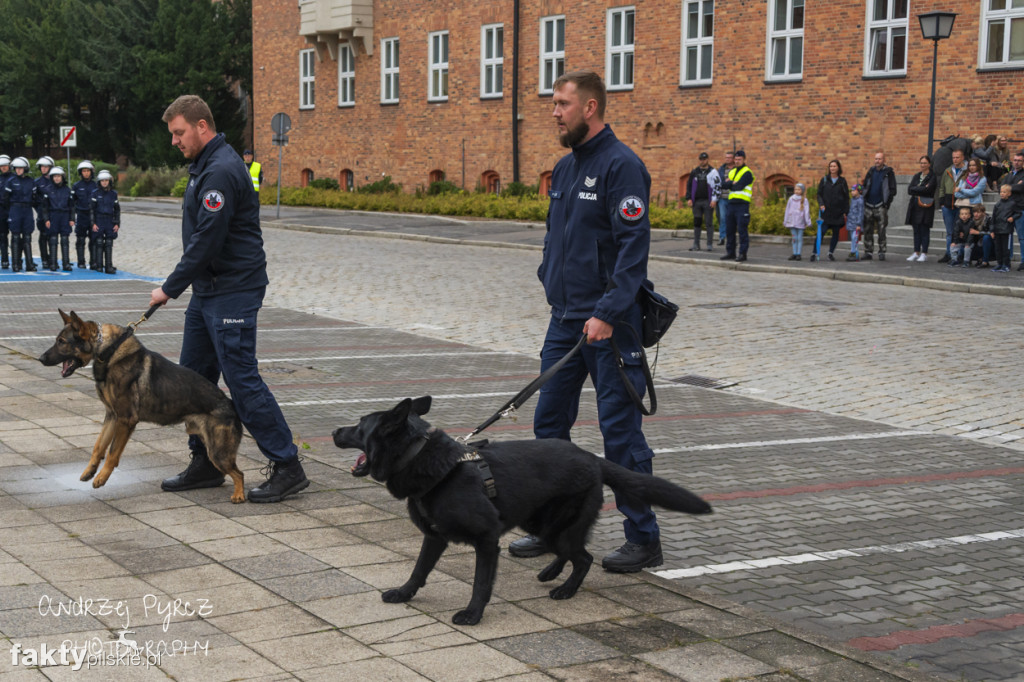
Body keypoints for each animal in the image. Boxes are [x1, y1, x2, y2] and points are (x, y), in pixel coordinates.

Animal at [335, 395, 712, 622]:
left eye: (358, 425)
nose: (335, 430)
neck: (423, 458)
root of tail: (593, 458)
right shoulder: (434, 538)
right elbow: (419, 569)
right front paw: (404, 593)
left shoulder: (487, 541)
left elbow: (481, 582)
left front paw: (473, 614)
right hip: (541, 523)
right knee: (569, 550)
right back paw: (550, 573)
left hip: (558, 525)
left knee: (583, 557)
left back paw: (565, 589)